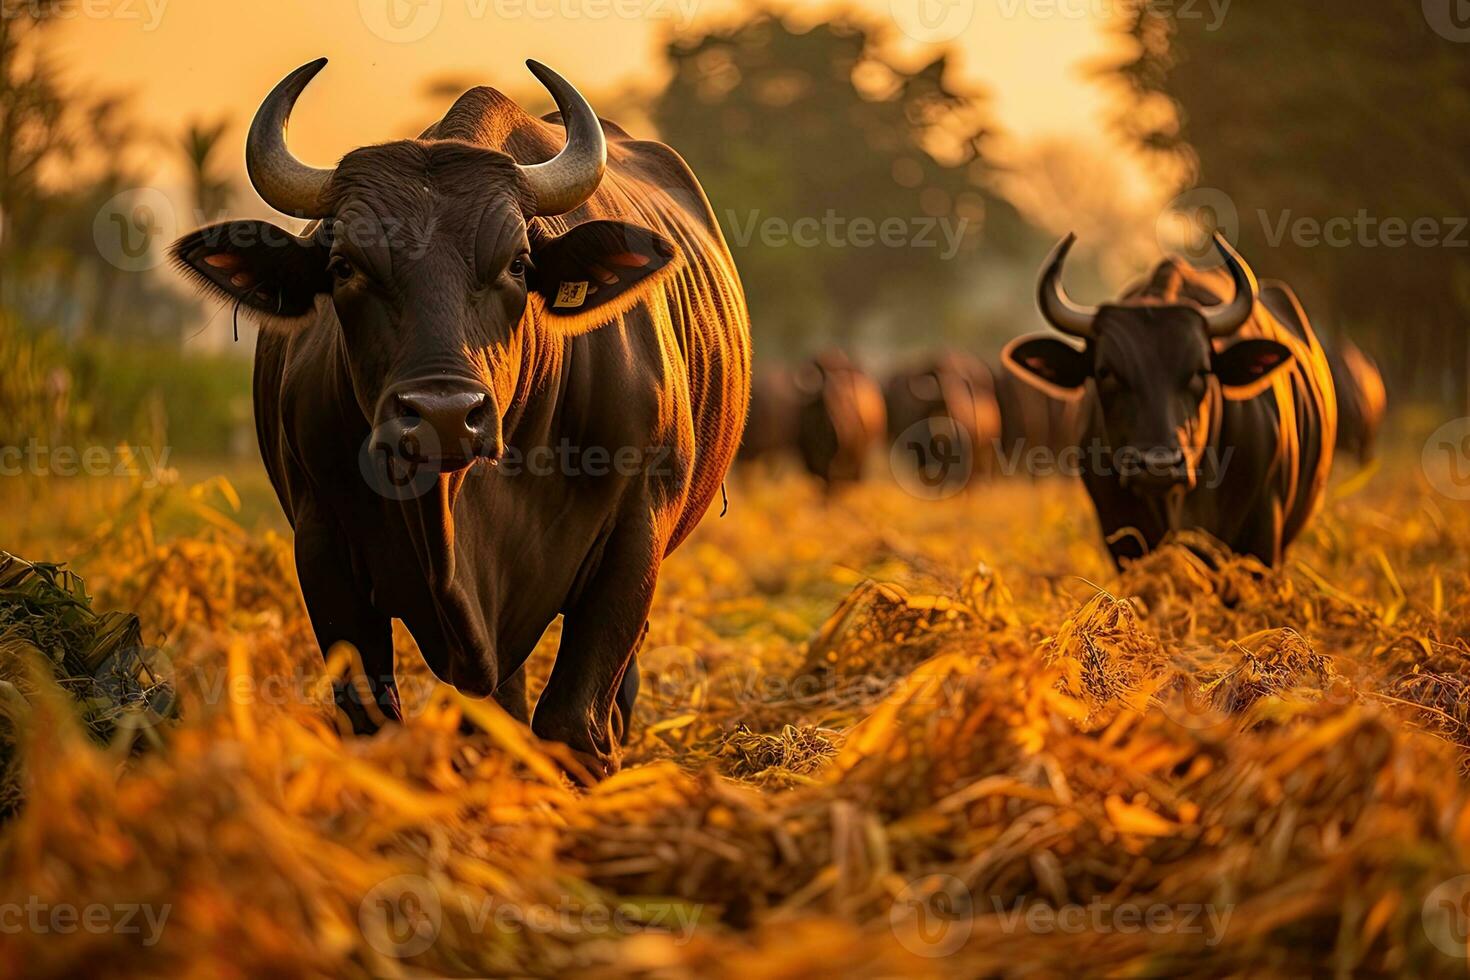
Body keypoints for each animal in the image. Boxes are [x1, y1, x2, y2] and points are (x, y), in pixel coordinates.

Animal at [169, 61, 746, 781]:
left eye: (518, 263)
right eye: (344, 267)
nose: (442, 417)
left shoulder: (637, 529)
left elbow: (572, 724)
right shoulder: (322, 541)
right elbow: (377, 718)